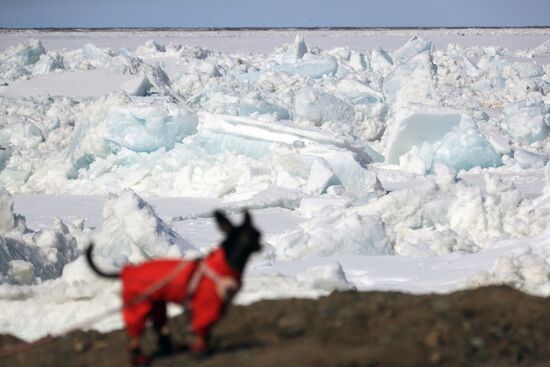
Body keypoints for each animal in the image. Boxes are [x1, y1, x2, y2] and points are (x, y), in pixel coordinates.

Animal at [85, 211, 264, 366]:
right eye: (257, 234)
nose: (260, 245)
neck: (224, 263)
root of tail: (127, 271)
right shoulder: (206, 307)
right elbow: (201, 329)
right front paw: (200, 351)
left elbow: (205, 331)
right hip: (138, 304)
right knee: (134, 334)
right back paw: (139, 358)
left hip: (156, 303)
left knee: (159, 327)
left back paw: (168, 348)